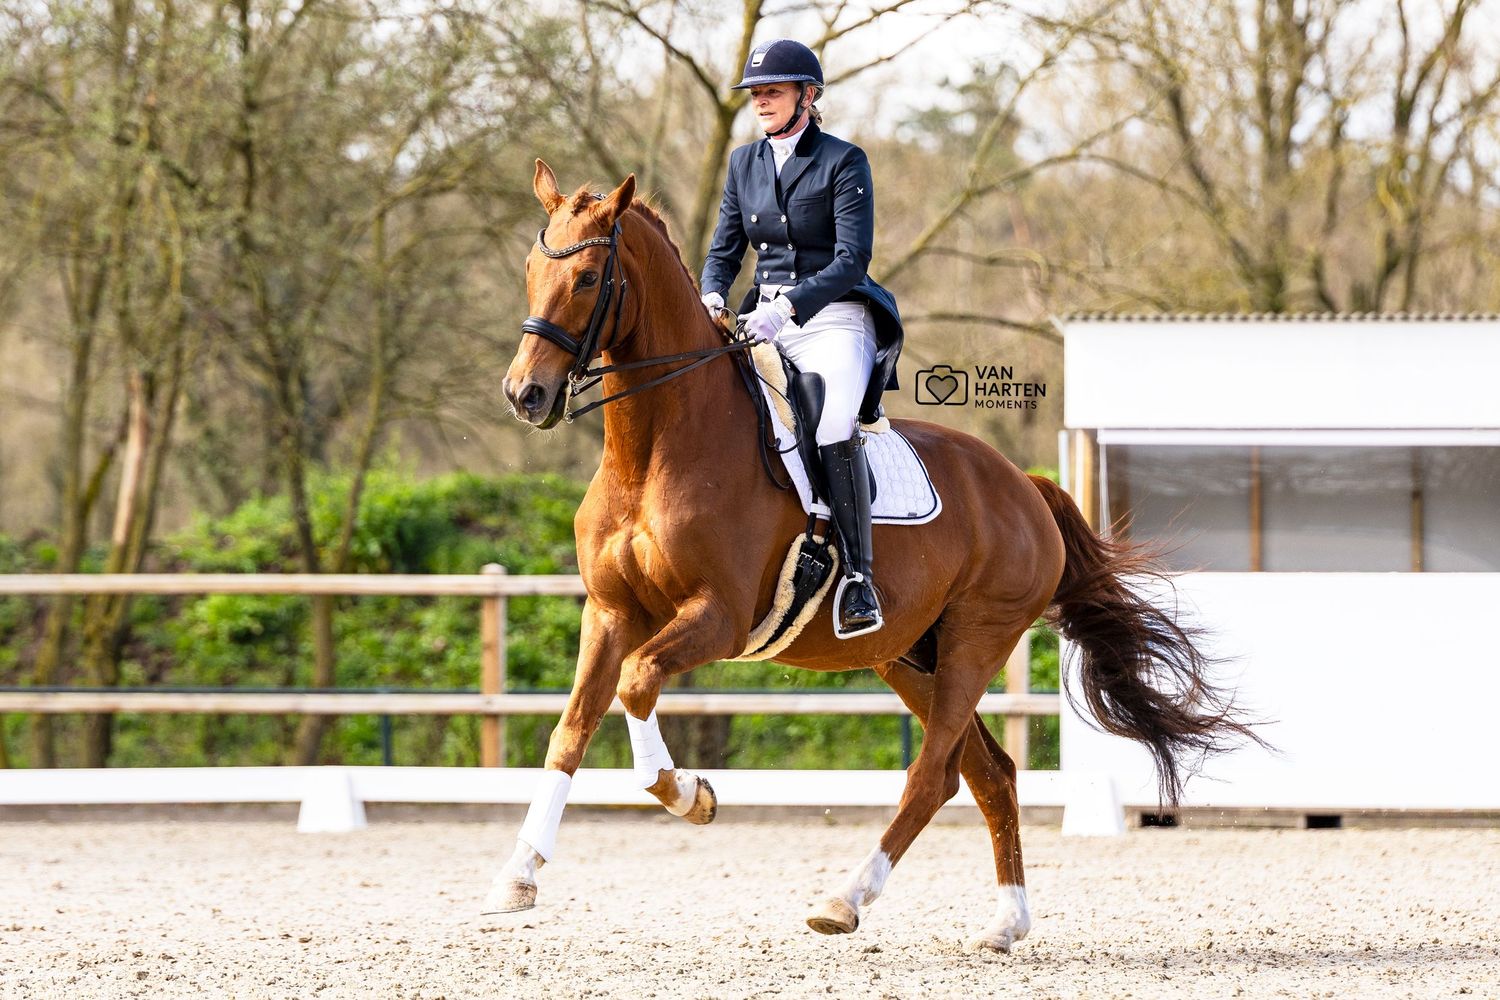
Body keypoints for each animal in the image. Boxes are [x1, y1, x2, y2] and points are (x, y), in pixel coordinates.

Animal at [485, 160, 1253, 952]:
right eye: (531, 271)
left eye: (586, 279)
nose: (524, 394)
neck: (654, 449)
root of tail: (1026, 486)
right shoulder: (610, 612)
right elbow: (570, 730)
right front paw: (520, 873)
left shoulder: (718, 616)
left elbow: (638, 683)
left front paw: (687, 794)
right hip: (910, 655)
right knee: (988, 773)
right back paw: (1006, 920)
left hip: (977, 640)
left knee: (934, 775)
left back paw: (845, 898)